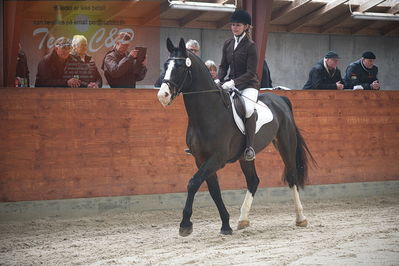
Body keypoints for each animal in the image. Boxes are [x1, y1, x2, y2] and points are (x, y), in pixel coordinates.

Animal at [156, 38, 316, 237]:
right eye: (165, 65)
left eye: (179, 67)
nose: (162, 95)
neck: (209, 113)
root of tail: (280, 99)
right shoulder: (201, 160)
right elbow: (214, 191)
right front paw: (226, 224)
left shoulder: (217, 158)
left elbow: (193, 183)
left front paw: (185, 224)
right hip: (245, 157)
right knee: (253, 181)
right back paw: (243, 220)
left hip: (286, 145)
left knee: (292, 177)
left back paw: (300, 218)